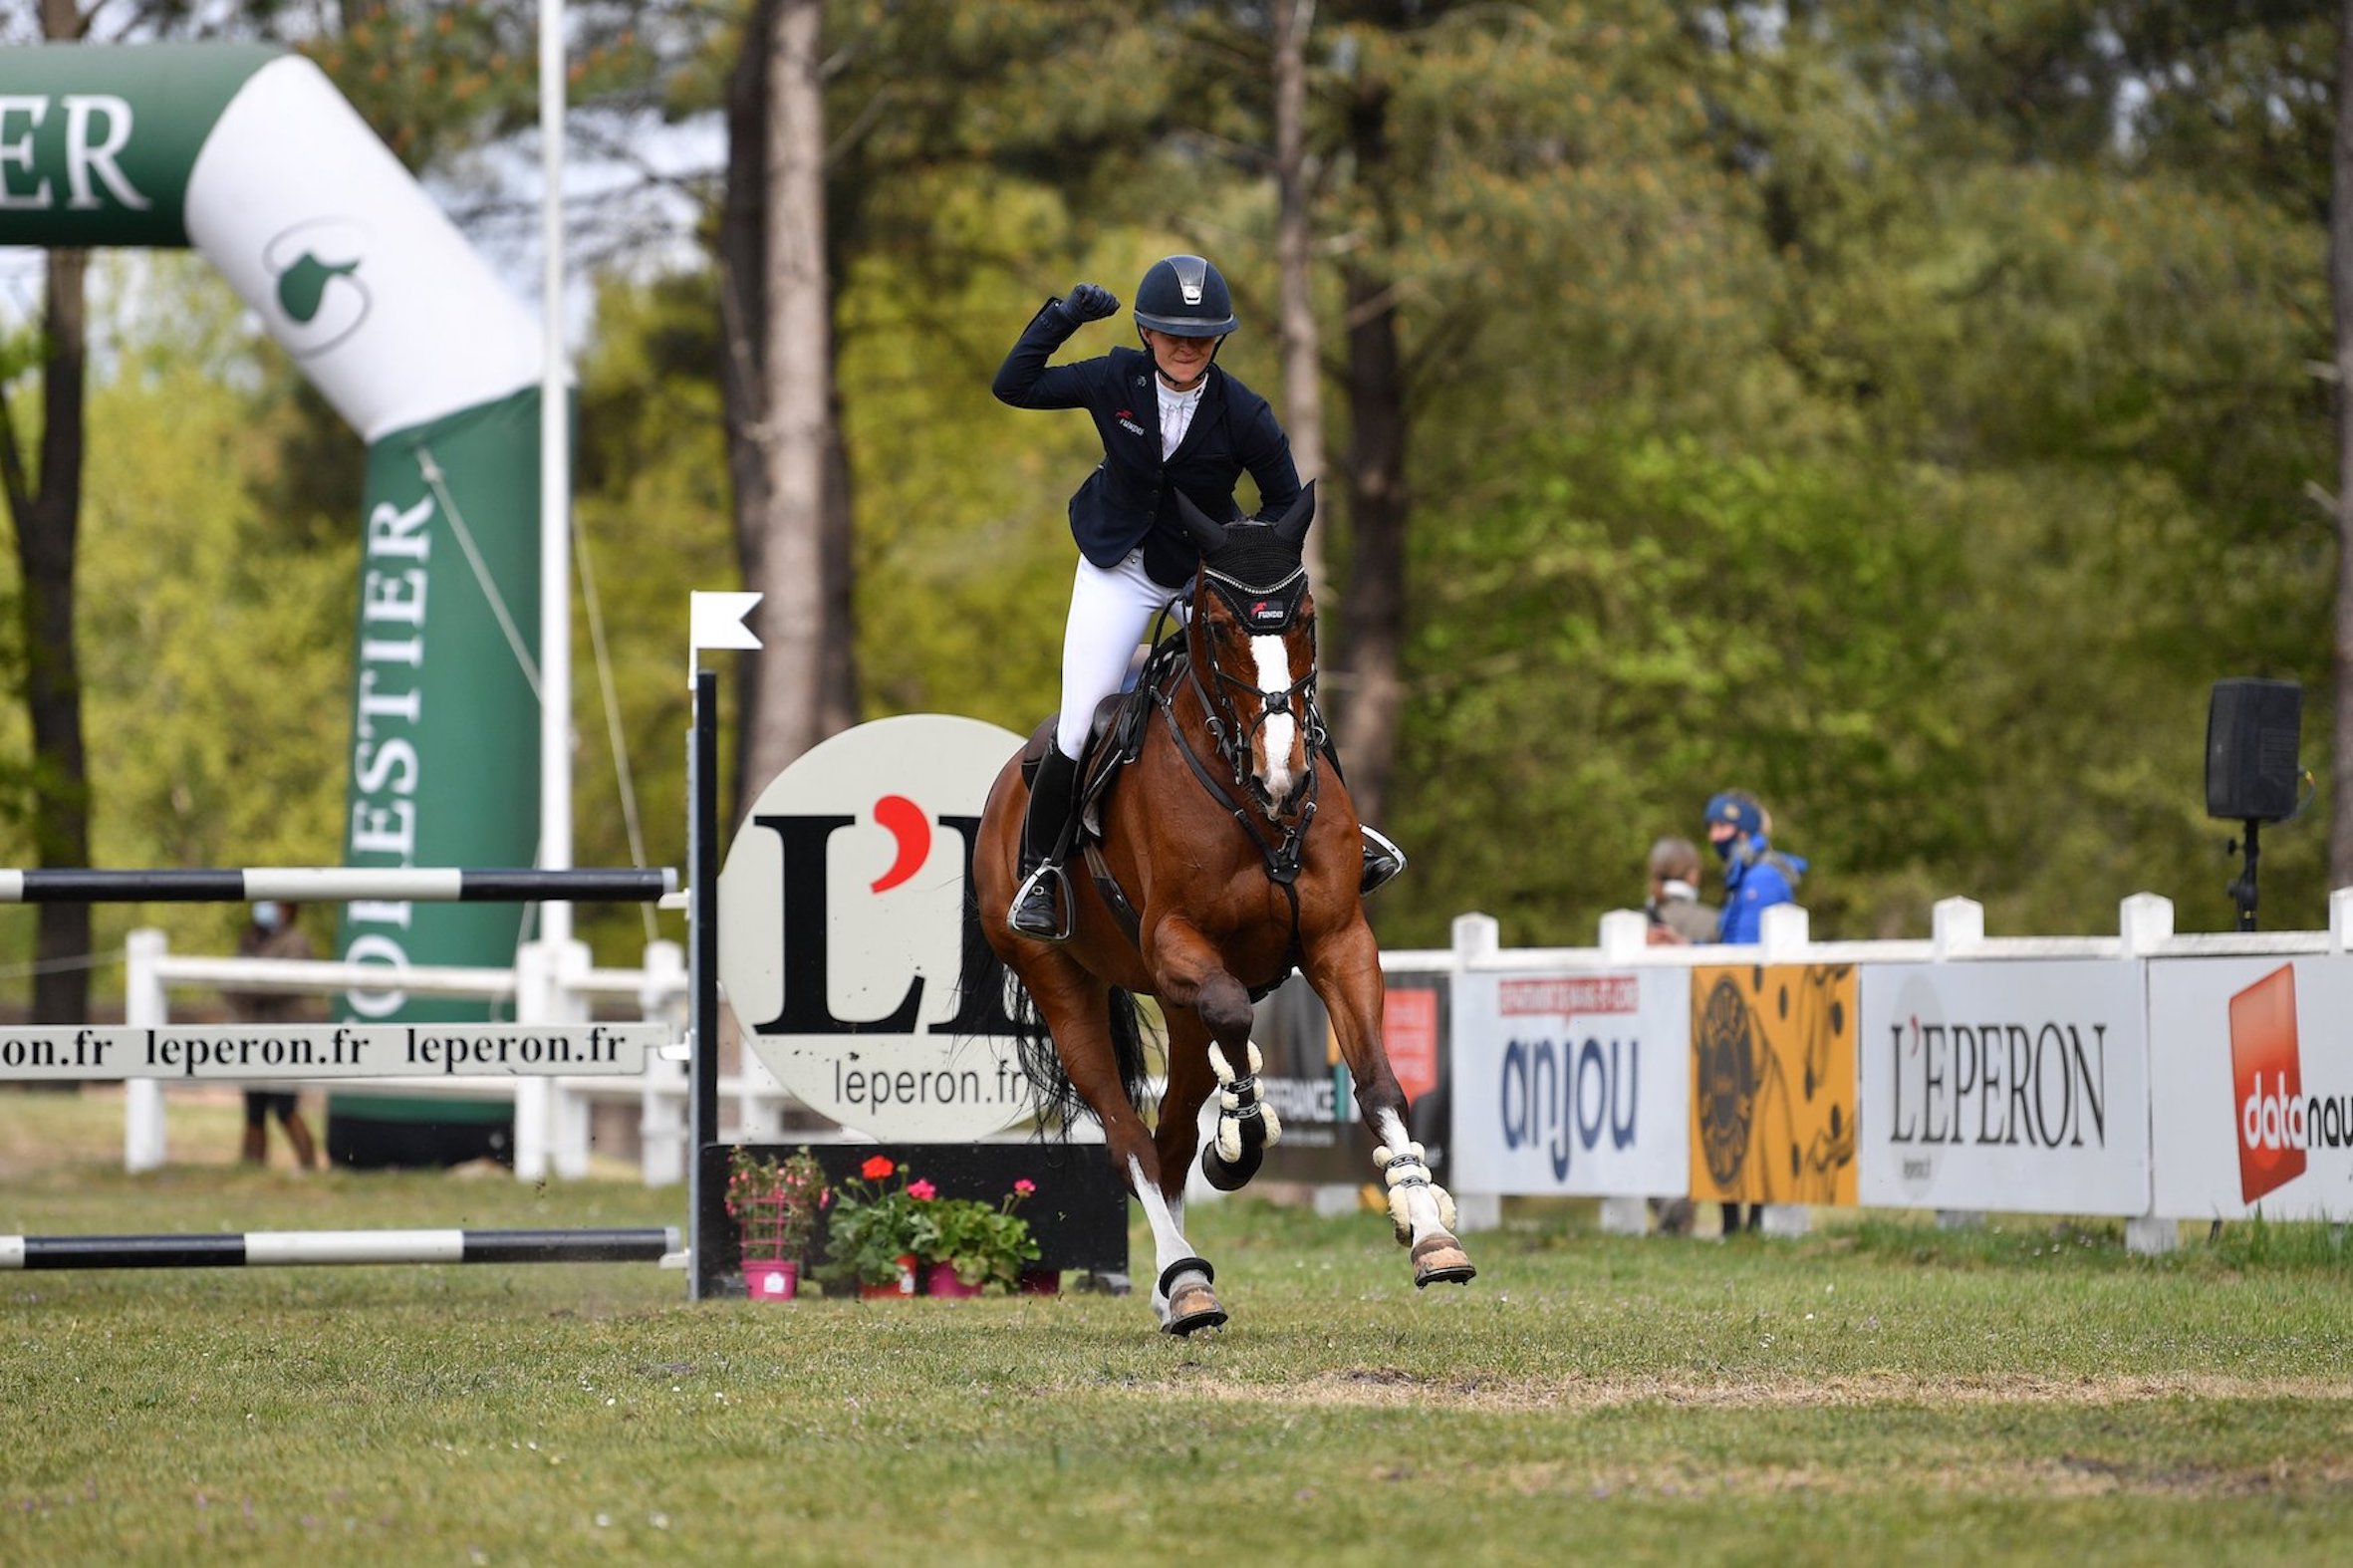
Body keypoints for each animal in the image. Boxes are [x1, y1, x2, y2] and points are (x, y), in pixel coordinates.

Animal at [964, 480, 1458, 1327]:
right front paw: (1239, 1143)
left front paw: (1427, 1228)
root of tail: (1002, 792)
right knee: (1130, 1135)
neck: (1251, 797)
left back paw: (1180, 1285)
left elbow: (1377, 1082)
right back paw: (1185, 1279)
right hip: (1062, 985)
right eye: (1224, 627)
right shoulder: (1175, 939)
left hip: (1174, 1001)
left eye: (1306, 617)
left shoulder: (1339, 939)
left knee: (1168, 1137)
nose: (1286, 776)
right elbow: (1234, 1019)